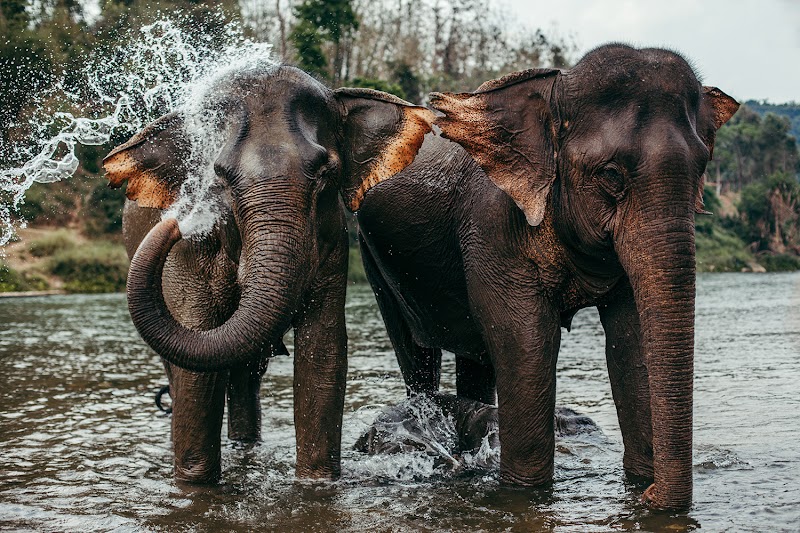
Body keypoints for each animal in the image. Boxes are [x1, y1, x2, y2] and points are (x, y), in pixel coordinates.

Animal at [102, 65, 435, 483]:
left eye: (325, 173)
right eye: (219, 177)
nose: (178, 222)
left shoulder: (331, 242)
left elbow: (322, 354)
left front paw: (316, 483)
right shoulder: (189, 254)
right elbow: (196, 367)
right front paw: (194, 484)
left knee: (245, 375)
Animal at [354, 44, 738, 510]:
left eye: (702, 169)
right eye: (611, 175)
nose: (649, 497)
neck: (555, 89)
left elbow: (631, 340)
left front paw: (639, 482)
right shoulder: (492, 225)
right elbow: (527, 339)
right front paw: (526, 492)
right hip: (373, 257)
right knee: (417, 353)